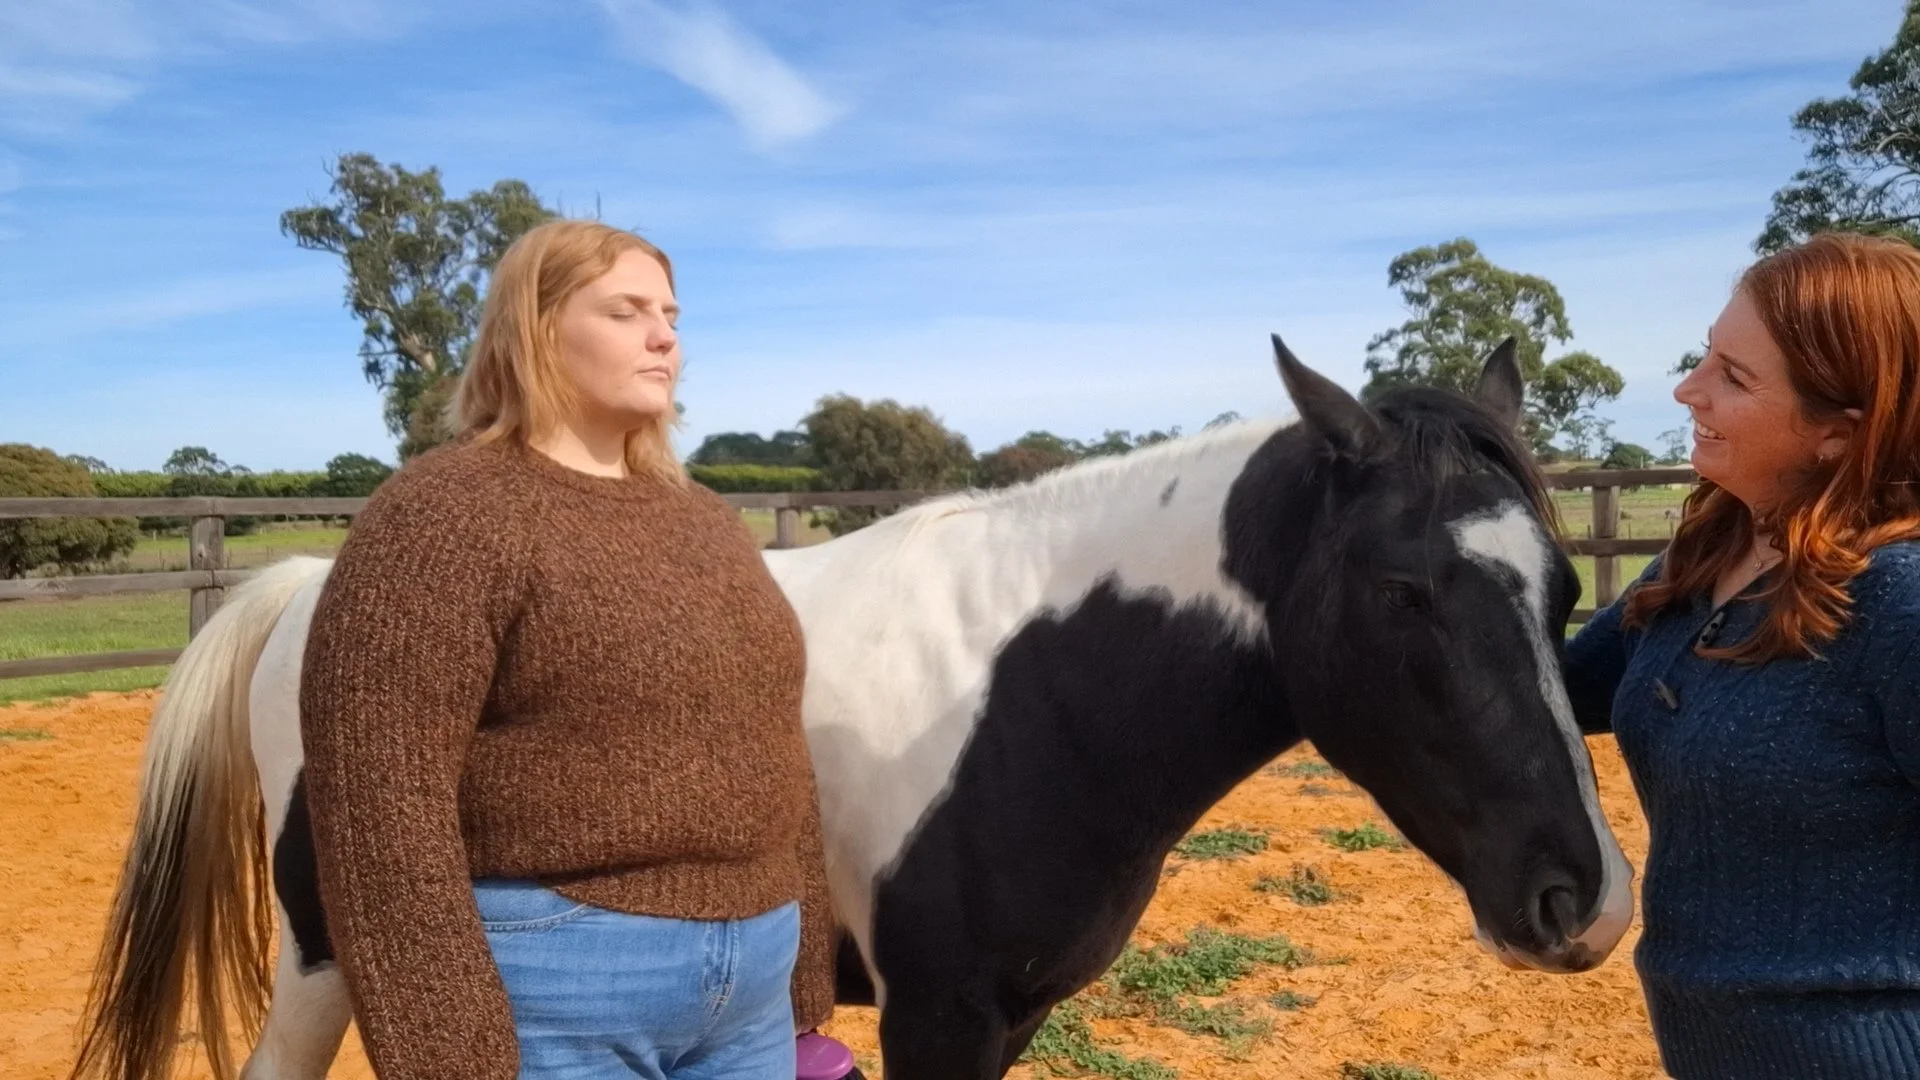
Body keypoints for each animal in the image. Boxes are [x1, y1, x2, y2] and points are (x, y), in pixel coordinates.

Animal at [71, 335, 1633, 1080]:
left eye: (1564, 583)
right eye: (1404, 590)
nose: (1589, 898)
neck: (1033, 702)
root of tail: (309, 589)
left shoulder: (1005, 1019)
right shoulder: (936, 1021)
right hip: (332, 959)